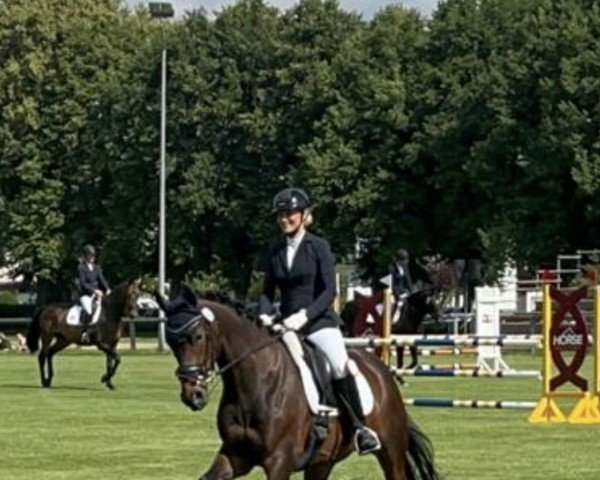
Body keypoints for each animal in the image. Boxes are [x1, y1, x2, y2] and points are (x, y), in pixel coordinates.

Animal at [155, 286, 438, 478]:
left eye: (198, 337)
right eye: (171, 342)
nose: (193, 396)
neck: (254, 385)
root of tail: (382, 370)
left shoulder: (280, 461)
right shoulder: (235, 456)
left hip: (390, 451)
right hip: (322, 461)